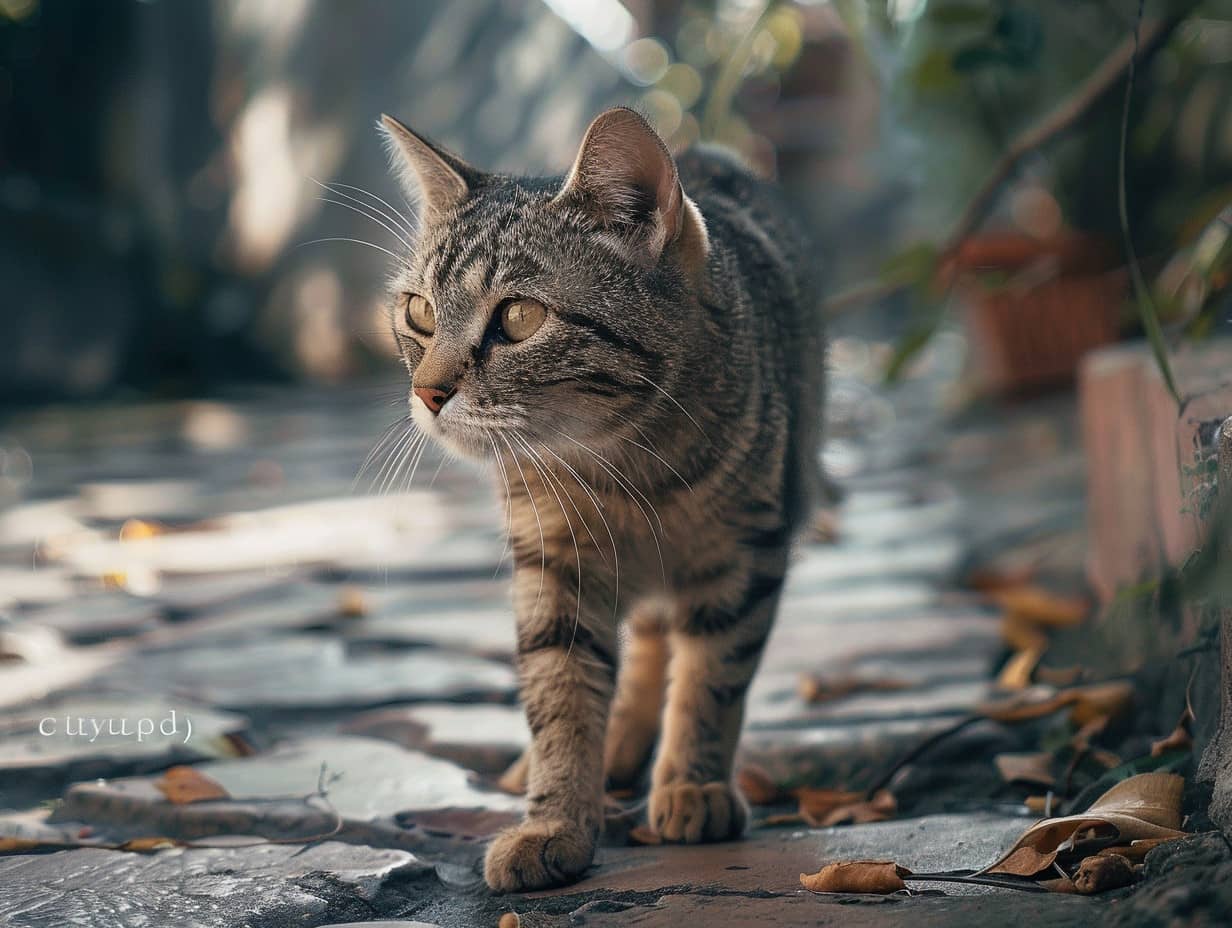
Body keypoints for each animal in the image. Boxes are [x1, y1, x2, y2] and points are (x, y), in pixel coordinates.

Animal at [379, 106, 822, 892]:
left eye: (518, 318)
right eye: (420, 313)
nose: (427, 392)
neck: (624, 473)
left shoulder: (747, 551)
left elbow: (712, 677)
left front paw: (693, 782)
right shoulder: (553, 563)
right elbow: (560, 693)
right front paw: (555, 818)